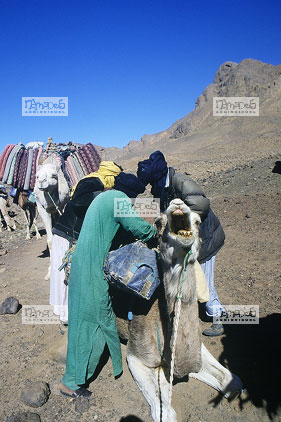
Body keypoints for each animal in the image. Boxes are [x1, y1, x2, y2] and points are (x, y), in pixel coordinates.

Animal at [111, 199, 241, 422]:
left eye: (198, 221)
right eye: (157, 222)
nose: (178, 203)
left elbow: (231, 381)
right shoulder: (135, 357)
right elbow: (165, 412)